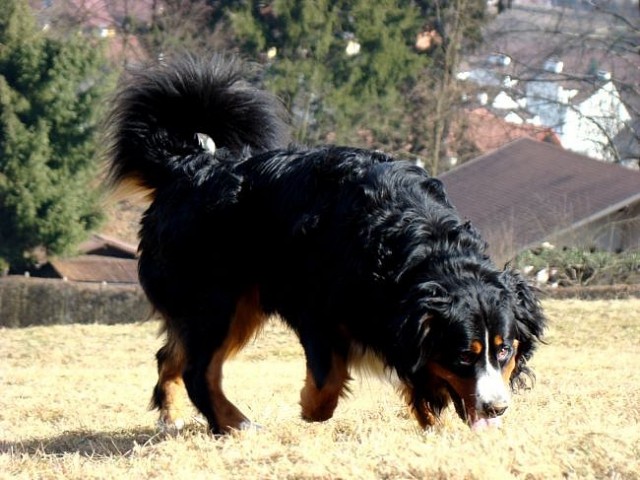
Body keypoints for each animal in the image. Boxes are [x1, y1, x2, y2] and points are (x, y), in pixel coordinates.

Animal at [105, 54, 544, 434]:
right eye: (464, 354)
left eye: (503, 351)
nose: (496, 407)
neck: (418, 243)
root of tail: (186, 167)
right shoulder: (314, 304)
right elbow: (330, 375)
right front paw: (311, 408)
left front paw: (434, 424)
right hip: (215, 298)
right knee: (199, 370)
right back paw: (236, 424)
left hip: (234, 303)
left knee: (173, 356)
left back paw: (174, 416)